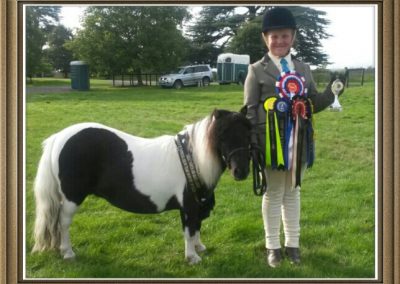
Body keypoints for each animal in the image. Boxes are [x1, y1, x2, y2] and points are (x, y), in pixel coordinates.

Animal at [32, 108, 250, 264]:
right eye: (222, 134)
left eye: (249, 131)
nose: (241, 171)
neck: (193, 158)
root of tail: (59, 137)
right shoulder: (188, 205)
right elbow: (189, 229)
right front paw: (192, 257)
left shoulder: (197, 203)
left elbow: (196, 227)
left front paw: (199, 248)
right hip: (72, 198)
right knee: (63, 223)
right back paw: (68, 253)